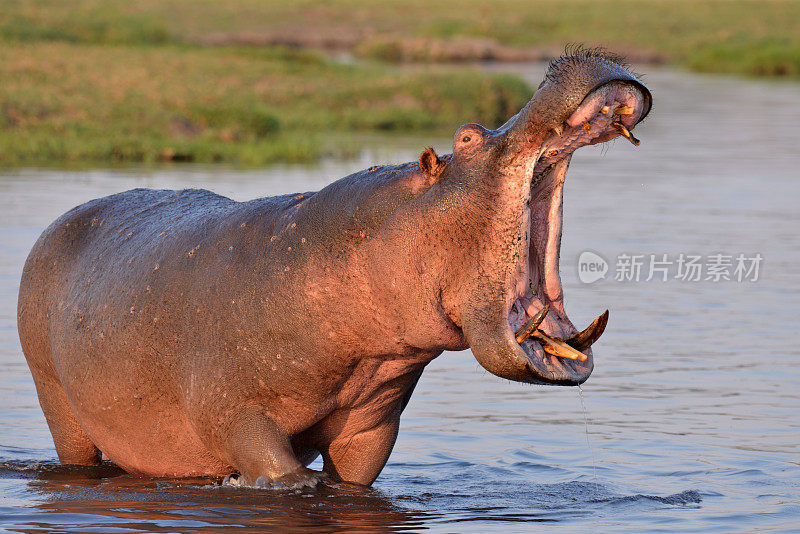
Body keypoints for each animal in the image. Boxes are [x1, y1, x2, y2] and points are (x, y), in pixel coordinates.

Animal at [18, 50, 648, 490]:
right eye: (467, 135)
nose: (570, 59)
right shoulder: (232, 411)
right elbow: (284, 473)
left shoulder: (371, 428)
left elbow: (351, 476)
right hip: (59, 405)